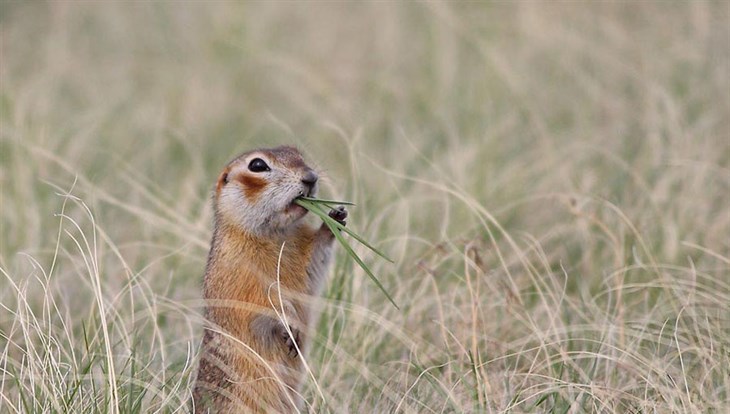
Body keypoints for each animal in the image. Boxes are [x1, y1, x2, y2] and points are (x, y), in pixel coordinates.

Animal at [191, 146, 344, 410]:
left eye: (298, 153)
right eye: (257, 165)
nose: (311, 177)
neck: (276, 234)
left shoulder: (303, 252)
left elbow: (315, 259)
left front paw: (335, 218)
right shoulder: (241, 273)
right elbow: (263, 301)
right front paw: (289, 324)